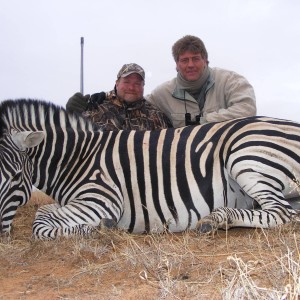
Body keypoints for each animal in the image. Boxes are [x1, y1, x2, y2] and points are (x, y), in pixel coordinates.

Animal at [0, 99, 298, 240]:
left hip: (245, 157)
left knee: (282, 214)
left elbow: (38, 224)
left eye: (15, 177)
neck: (78, 158)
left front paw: (96, 229)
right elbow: (43, 213)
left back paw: (215, 219)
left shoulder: (101, 200)